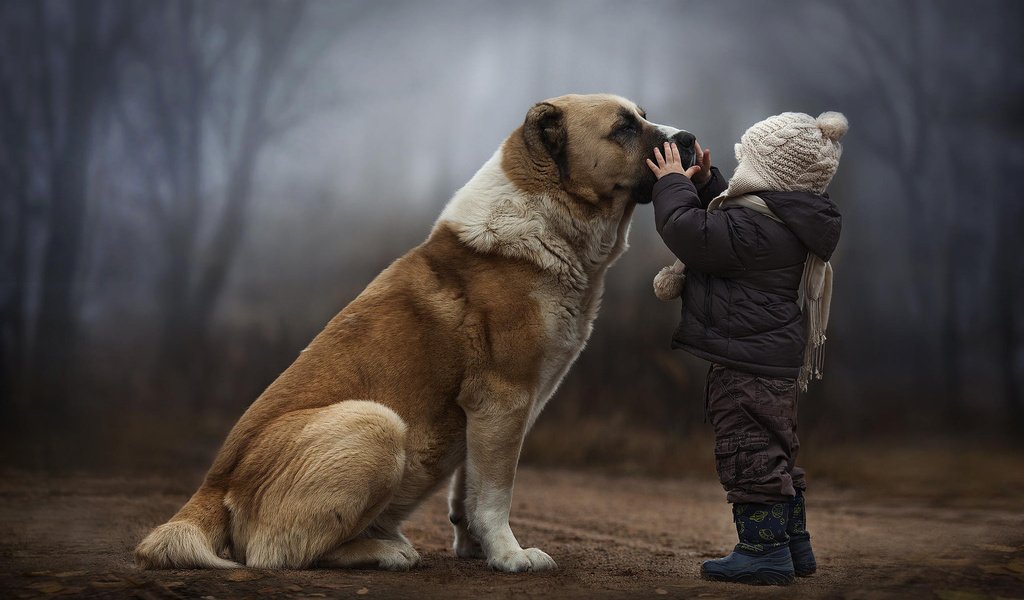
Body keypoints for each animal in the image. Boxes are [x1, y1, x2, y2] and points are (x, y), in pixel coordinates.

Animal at [136, 93, 696, 569]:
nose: (689, 138)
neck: (547, 217)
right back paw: (386, 551)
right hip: (377, 424)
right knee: (277, 553)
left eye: (643, 116)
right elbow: (496, 492)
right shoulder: (504, 399)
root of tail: (211, 488)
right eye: (624, 128)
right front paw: (510, 556)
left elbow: (470, 488)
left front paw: (477, 549)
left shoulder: (489, 414)